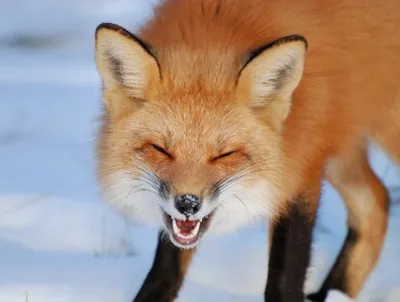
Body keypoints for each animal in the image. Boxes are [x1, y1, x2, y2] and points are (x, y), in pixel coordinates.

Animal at [94, 0, 400, 300]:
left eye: (224, 154)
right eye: (160, 149)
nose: (188, 204)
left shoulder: (300, 168)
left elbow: (284, 280)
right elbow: (166, 272)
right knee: (376, 202)